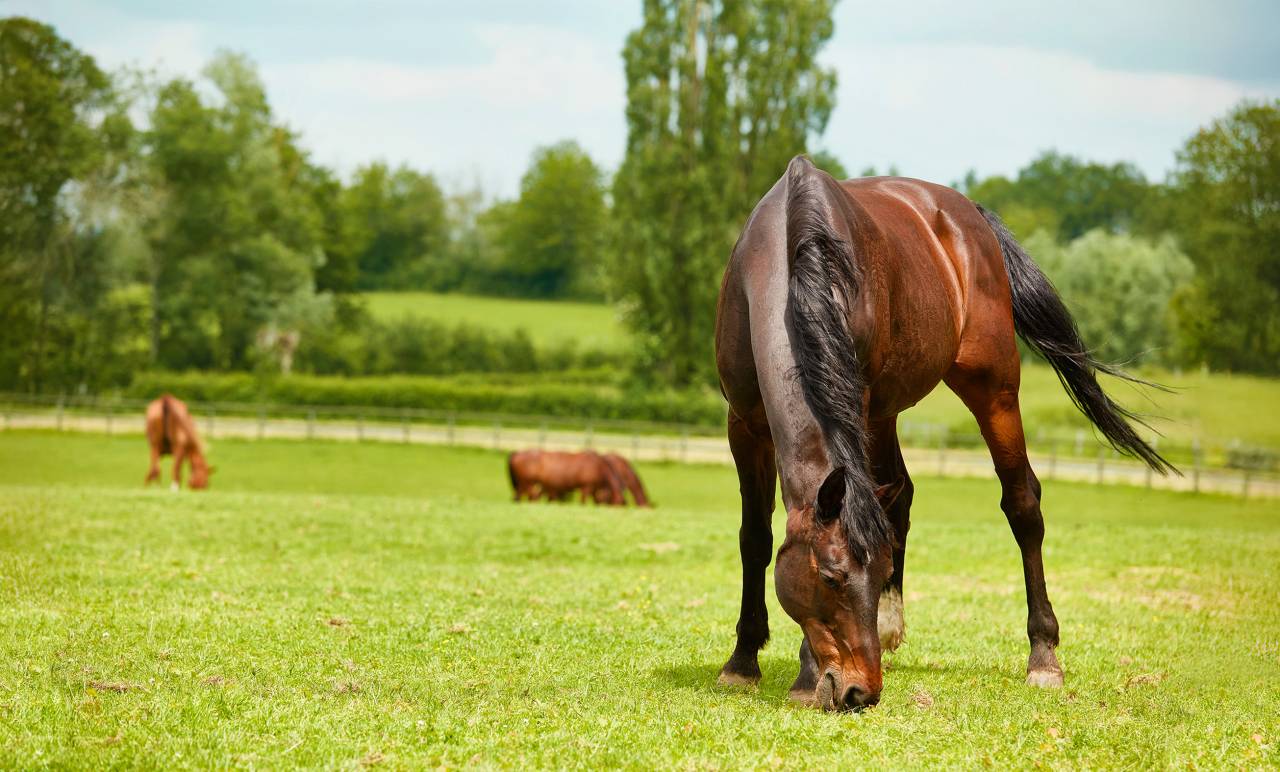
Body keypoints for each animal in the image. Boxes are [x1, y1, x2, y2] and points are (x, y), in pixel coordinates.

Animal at [713, 156, 1173, 712]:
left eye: (875, 572)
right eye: (831, 577)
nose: (860, 691)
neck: (783, 264)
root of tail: (967, 212)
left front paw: (804, 676)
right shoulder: (743, 424)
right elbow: (755, 538)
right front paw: (741, 662)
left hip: (991, 388)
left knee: (1023, 504)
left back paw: (1043, 658)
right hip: (882, 413)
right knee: (901, 493)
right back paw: (891, 631)